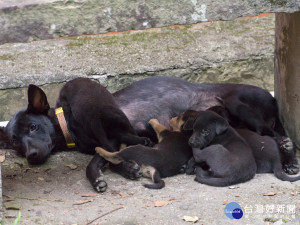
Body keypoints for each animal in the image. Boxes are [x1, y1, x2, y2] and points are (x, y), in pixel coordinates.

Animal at [2, 77, 152, 192]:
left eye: (33, 127)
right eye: (14, 141)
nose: (31, 155)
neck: (67, 125)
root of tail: (93, 115)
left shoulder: (111, 140)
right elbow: (106, 157)